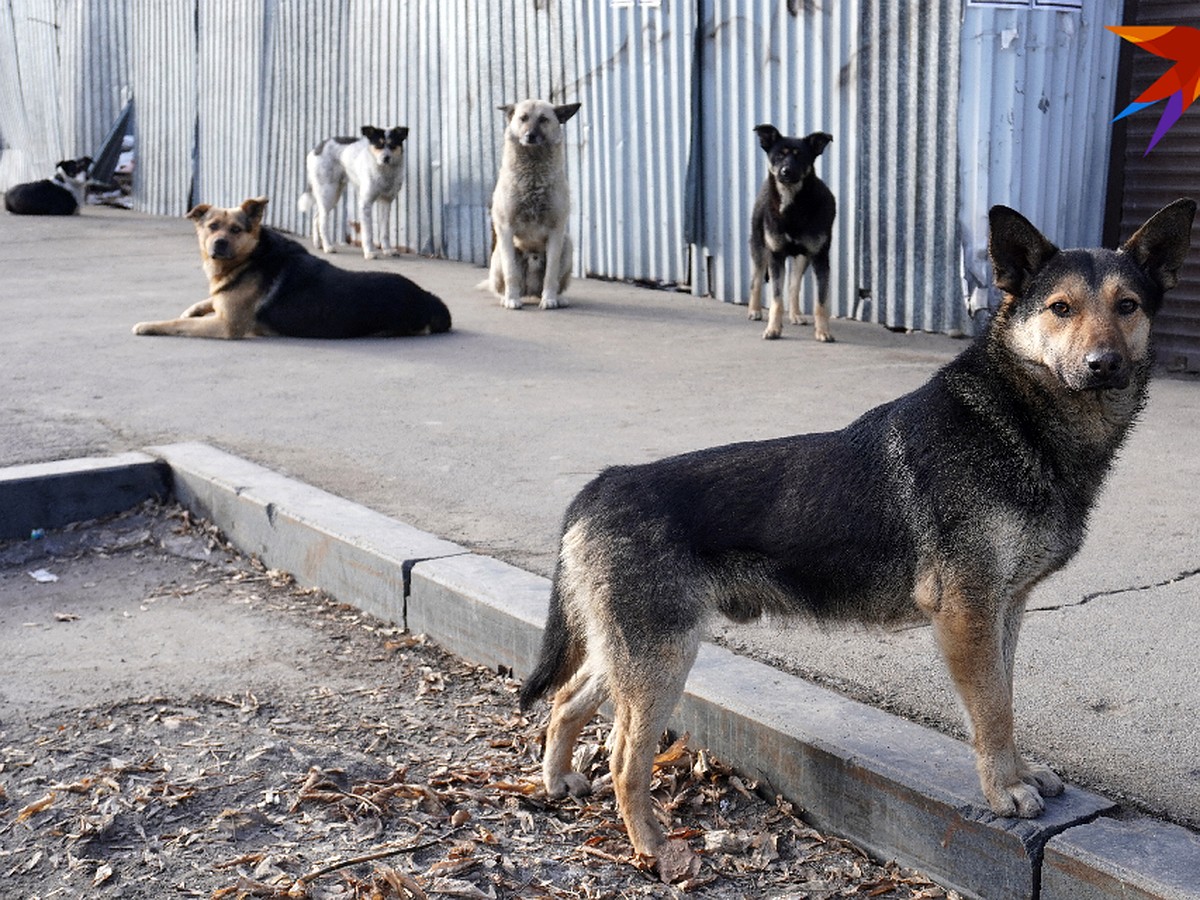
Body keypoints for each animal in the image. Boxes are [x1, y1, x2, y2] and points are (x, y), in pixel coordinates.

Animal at [132, 195, 451, 340]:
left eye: (236, 230)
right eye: (211, 226)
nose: (219, 244)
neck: (252, 256)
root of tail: (429, 299)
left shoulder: (226, 326)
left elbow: (176, 324)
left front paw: (148, 325)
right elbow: (207, 301)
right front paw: (194, 307)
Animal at [298, 123, 408, 259]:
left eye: (393, 145)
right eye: (378, 145)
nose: (386, 158)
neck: (384, 171)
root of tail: (317, 149)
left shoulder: (386, 202)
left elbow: (385, 232)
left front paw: (387, 250)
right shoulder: (365, 204)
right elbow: (368, 233)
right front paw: (369, 252)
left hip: (333, 195)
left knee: (316, 217)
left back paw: (318, 243)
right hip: (328, 192)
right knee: (322, 221)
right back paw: (328, 247)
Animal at [520, 199, 1195, 873]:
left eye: (1127, 306)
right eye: (1060, 308)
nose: (1104, 365)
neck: (1014, 419)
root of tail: (603, 484)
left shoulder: (1005, 612)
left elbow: (1005, 698)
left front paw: (1020, 772)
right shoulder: (968, 616)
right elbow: (993, 711)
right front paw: (1005, 789)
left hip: (632, 654)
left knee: (567, 700)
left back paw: (557, 781)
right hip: (661, 661)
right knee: (622, 758)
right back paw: (654, 848)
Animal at [744, 125, 840, 340]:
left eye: (800, 156)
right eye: (779, 155)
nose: (785, 171)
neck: (793, 206)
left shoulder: (820, 257)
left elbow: (821, 302)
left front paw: (823, 331)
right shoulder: (776, 255)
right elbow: (776, 299)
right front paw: (773, 328)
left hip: (803, 258)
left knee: (794, 285)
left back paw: (796, 314)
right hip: (759, 246)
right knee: (756, 279)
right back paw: (754, 310)